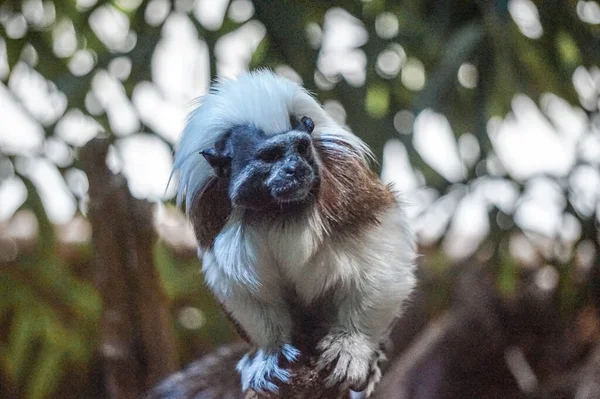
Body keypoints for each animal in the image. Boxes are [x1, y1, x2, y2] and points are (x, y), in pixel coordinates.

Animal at [172, 70, 418, 398]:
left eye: (300, 148)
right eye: (270, 156)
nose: (295, 169)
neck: (278, 209)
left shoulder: (347, 185)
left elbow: (383, 254)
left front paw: (352, 345)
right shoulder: (212, 211)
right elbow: (240, 286)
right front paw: (271, 352)